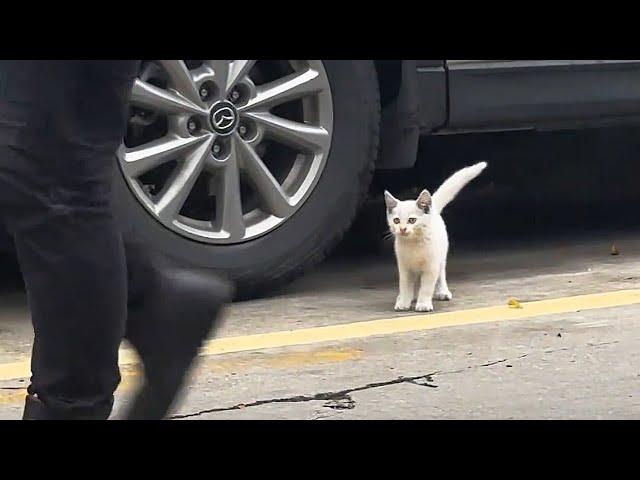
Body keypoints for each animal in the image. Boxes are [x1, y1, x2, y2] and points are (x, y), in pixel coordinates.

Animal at [382, 162, 488, 312]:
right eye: (396, 221)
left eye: (412, 220)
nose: (402, 229)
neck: (414, 244)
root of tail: (434, 209)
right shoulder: (404, 267)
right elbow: (405, 286)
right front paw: (403, 301)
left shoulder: (431, 266)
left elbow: (426, 287)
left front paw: (423, 304)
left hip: (441, 256)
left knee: (441, 274)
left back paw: (442, 291)